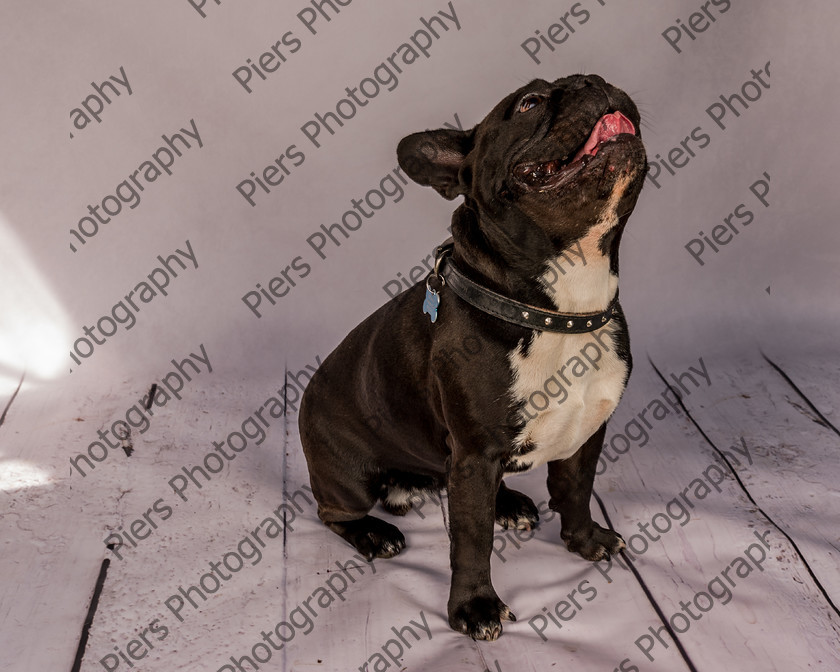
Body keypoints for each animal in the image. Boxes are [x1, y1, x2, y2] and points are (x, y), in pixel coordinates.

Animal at [298, 73, 648, 640]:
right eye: (529, 103)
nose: (593, 80)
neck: (559, 308)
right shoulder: (475, 453)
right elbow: (471, 540)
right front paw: (474, 606)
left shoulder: (585, 434)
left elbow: (575, 488)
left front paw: (585, 540)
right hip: (348, 475)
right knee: (334, 511)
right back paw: (373, 533)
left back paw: (507, 502)